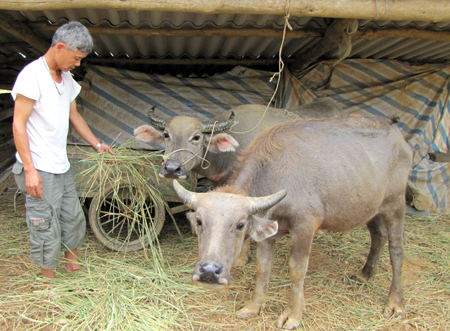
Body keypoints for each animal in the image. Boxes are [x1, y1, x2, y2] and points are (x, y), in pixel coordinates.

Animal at [174, 116, 414, 330]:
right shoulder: (268, 229)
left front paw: (294, 315)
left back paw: (395, 303)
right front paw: (254, 306)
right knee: (378, 236)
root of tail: (396, 132)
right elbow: (263, 266)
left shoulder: (305, 225)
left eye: (241, 224)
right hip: (371, 208)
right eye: (199, 221)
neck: (277, 174)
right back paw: (365, 273)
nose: (209, 271)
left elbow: (297, 269)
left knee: (397, 250)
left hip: (396, 204)